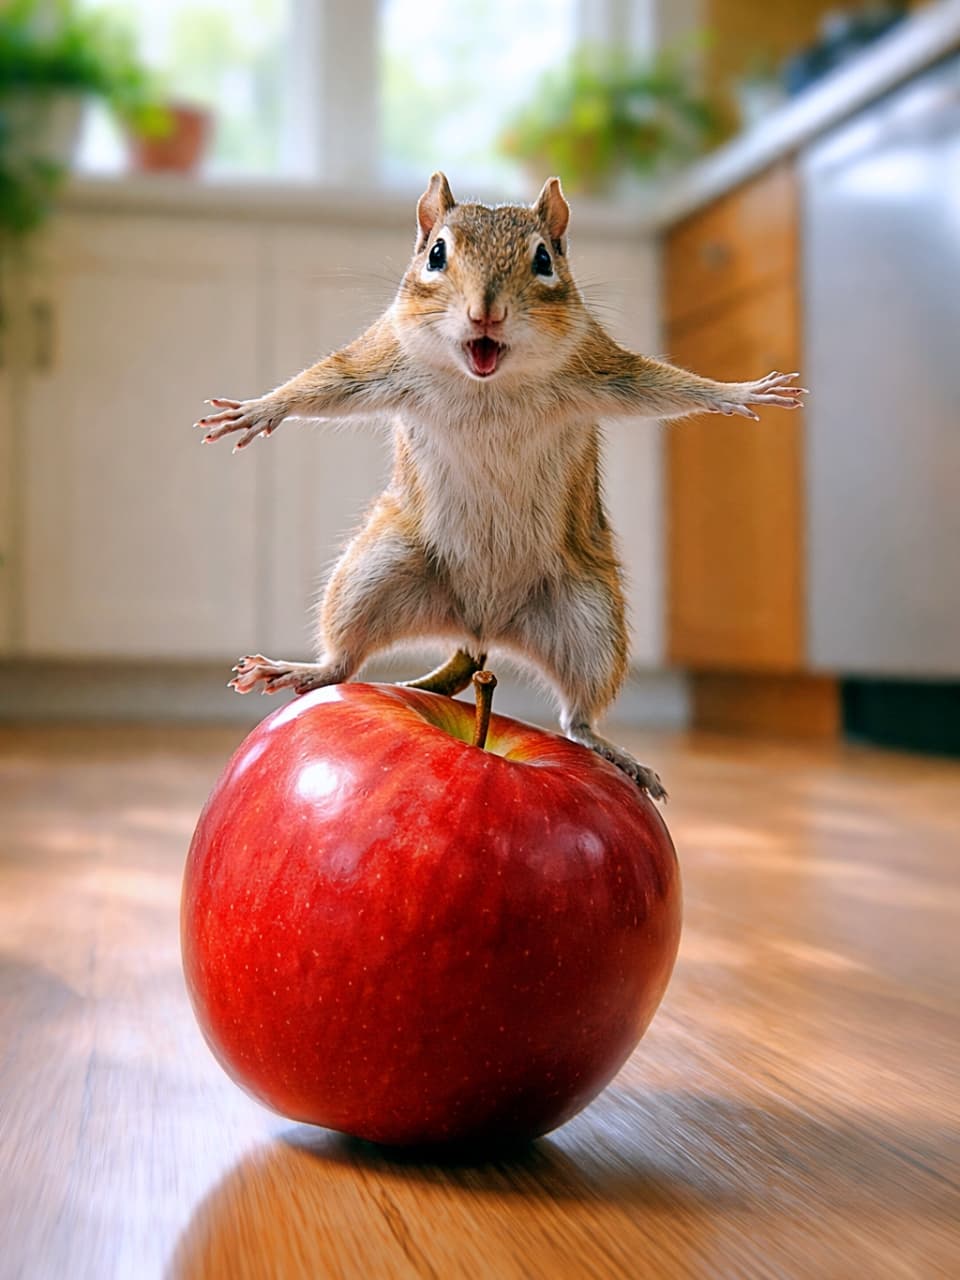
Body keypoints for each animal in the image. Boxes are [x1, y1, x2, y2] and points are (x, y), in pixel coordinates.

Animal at [196, 173, 806, 801]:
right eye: (436, 254)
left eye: (544, 259)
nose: (484, 313)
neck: (488, 381)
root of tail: (479, 626)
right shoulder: (385, 354)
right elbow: (327, 381)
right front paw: (257, 410)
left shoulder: (599, 364)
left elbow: (665, 386)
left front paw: (738, 392)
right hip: (376, 574)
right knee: (345, 660)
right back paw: (300, 669)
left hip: (591, 622)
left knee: (577, 716)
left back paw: (615, 753)